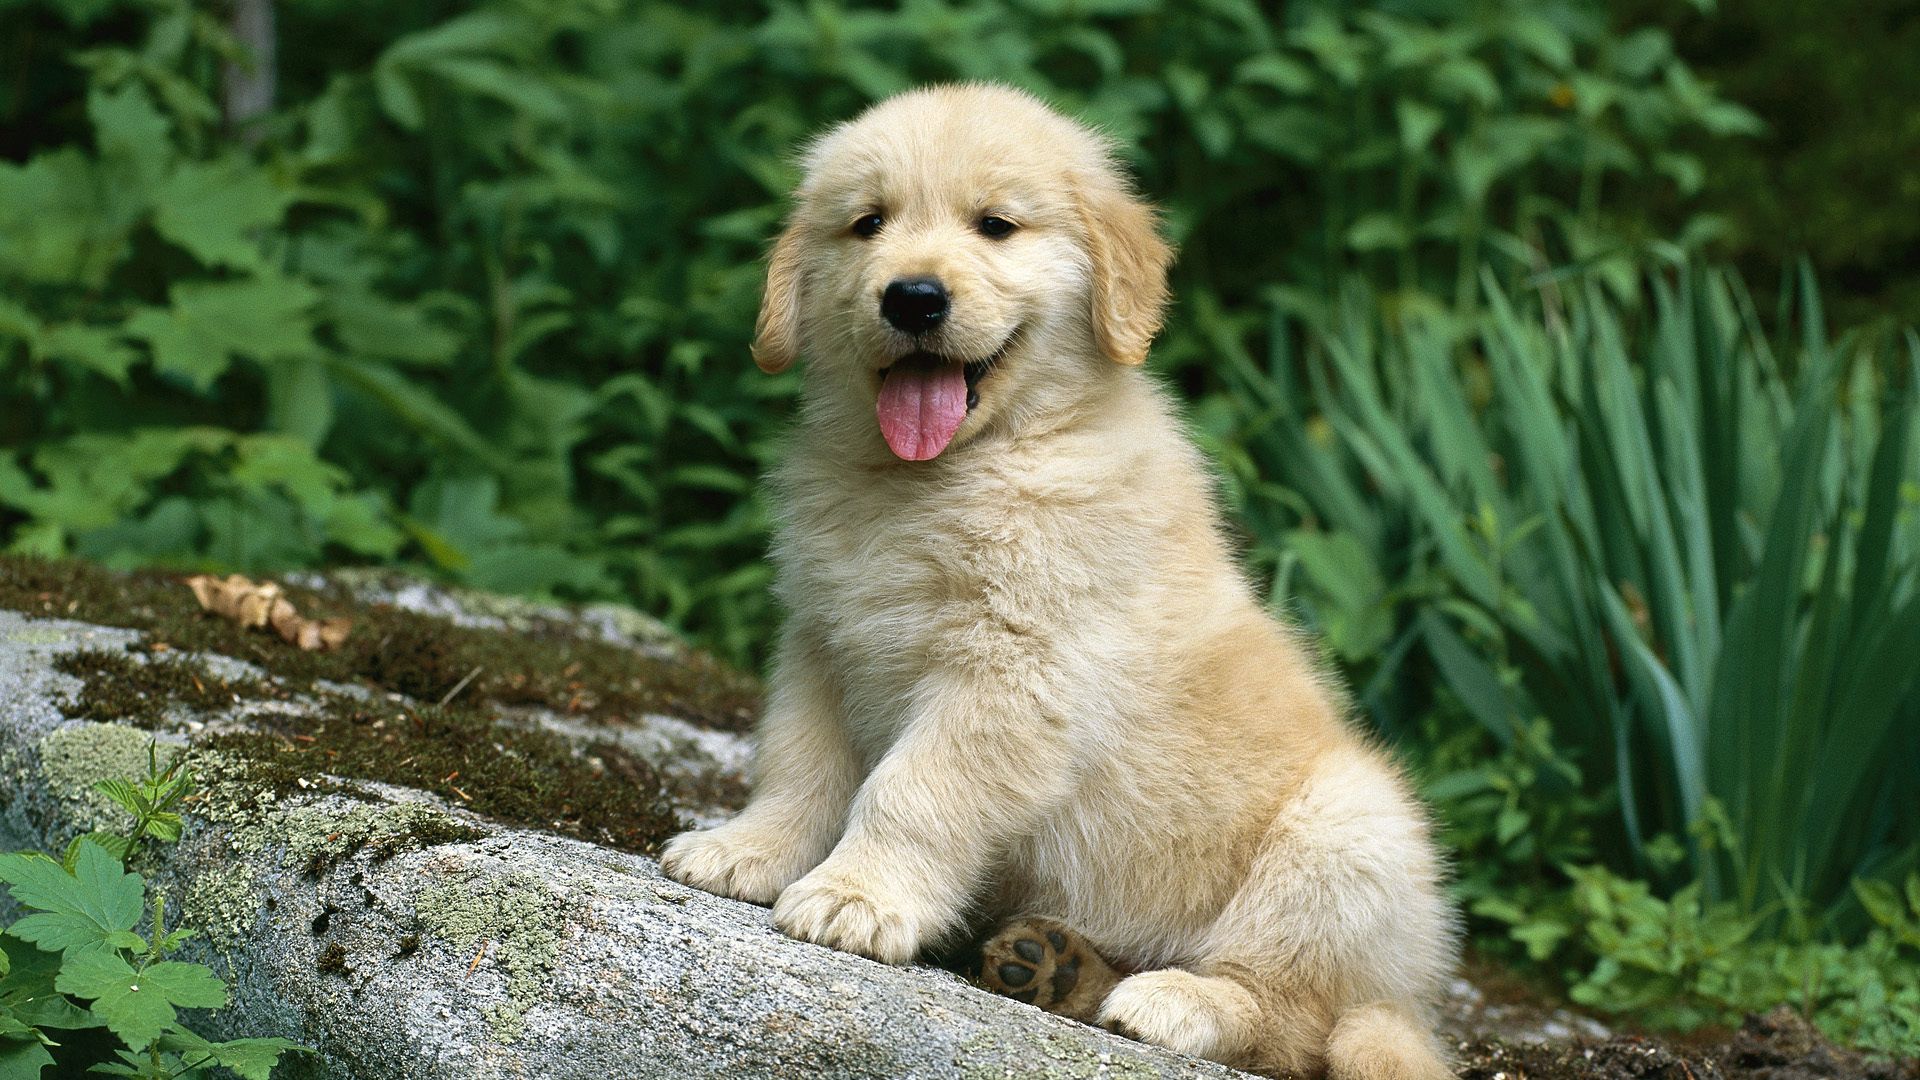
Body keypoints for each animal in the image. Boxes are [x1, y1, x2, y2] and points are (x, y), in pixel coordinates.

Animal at [660, 85, 1451, 1076]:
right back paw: (1055, 965)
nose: (912, 296)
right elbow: (797, 764)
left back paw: (1178, 1001)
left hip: (1349, 835)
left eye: (996, 226)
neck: (952, 471)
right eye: (867, 224)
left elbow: (909, 791)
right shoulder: (823, 641)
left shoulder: (1013, 671)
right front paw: (748, 849)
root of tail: (1405, 1002)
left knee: (1294, 1019)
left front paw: (859, 897)